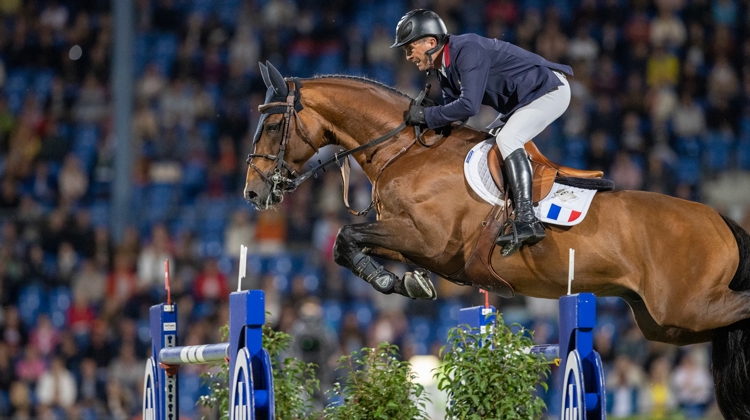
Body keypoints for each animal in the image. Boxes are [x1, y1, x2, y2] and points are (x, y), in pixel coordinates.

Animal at [244, 61, 748, 416]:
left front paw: (394, 282)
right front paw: (406, 282)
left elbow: (345, 236)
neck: (402, 149)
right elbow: (347, 245)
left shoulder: (428, 238)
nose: (252, 192)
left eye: (272, 125)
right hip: (666, 323)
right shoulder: (408, 238)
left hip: (683, 306)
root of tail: (720, 220)